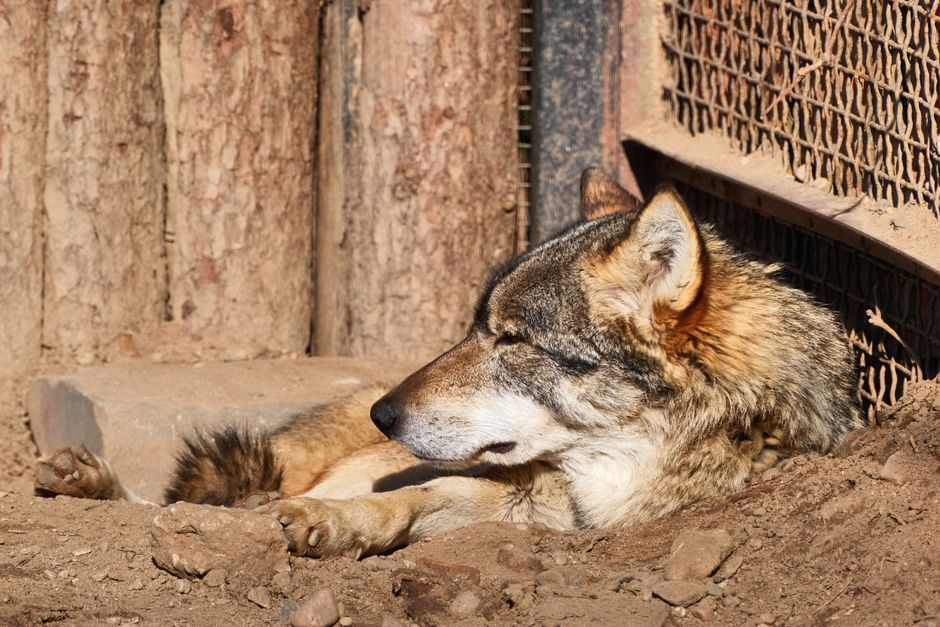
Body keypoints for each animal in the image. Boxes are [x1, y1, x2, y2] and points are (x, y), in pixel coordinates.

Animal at [34, 169, 862, 559]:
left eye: (512, 339)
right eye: (473, 325)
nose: (386, 414)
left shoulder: (535, 516)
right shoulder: (506, 494)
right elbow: (415, 495)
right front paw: (339, 525)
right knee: (199, 502)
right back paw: (89, 482)